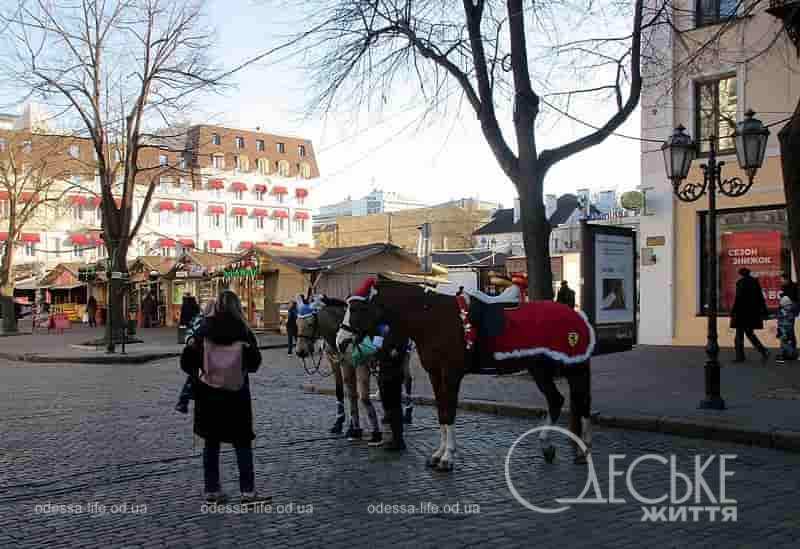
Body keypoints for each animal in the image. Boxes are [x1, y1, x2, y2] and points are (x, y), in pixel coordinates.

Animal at [334, 278, 592, 470]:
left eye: (357, 308)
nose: (341, 342)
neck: (432, 319)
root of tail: (577, 315)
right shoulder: (435, 374)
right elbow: (442, 412)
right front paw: (438, 454)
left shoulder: (451, 374)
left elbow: (450, 412)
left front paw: (447, 457)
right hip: (540, 369)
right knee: (557, 401)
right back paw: (548, 446)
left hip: (574, 367)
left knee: (580, 403)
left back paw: (582, 449)